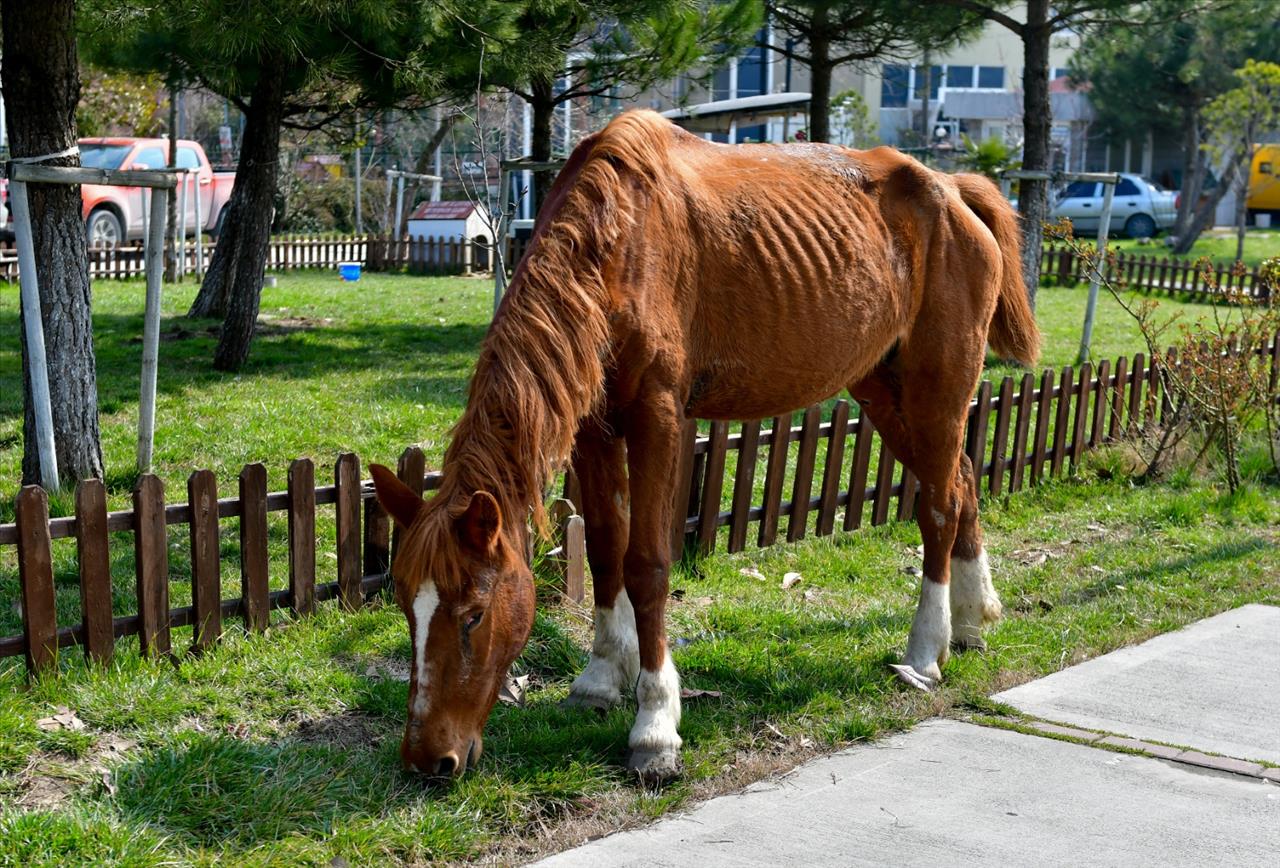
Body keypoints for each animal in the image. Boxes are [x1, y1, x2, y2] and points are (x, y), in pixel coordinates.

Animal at [368, 108, 1039, 783]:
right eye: (404, 606)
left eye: (474, 613)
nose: (428, 758)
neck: (617, 244)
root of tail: (953, 191)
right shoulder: (595, 427)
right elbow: (605, 551)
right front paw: (600, 678)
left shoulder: (659, 417)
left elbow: (647, 566)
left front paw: (655, 725)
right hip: (881, 388)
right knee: (962, 481)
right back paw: (972, 619)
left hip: (937, 386)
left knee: (939, 506)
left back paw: (926, 649)